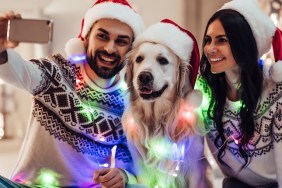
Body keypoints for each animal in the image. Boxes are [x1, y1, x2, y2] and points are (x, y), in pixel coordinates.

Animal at [121, 19, 212, 188]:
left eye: (163, 60)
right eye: (139, 59)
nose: (144, 77)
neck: (157, 119)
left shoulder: (194, 168)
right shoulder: (142, 168)